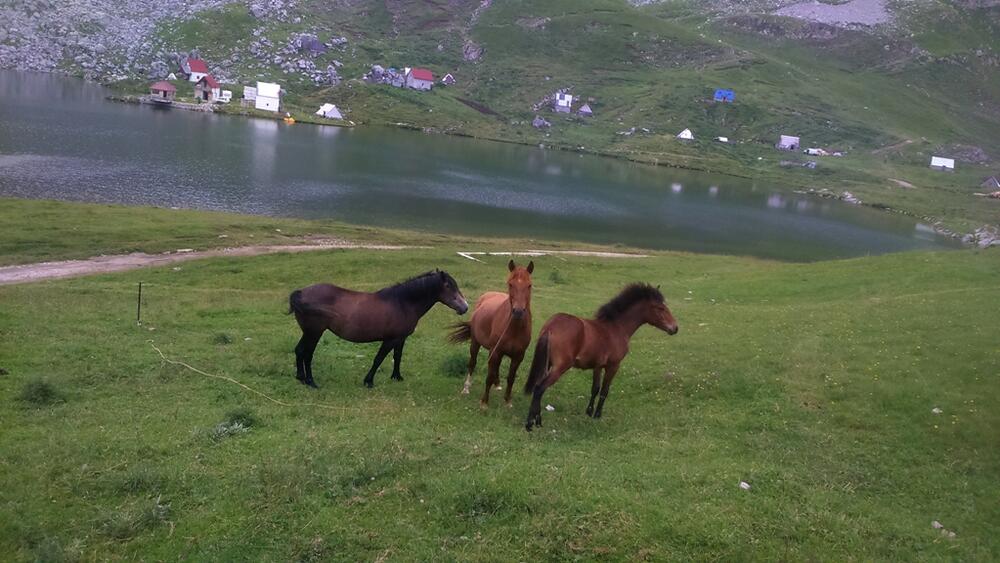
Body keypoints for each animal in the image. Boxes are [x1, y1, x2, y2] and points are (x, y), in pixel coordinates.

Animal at [290, 272, 468, 388]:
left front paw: (397, 377)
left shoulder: (401, 338)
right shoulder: (390, 340)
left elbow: (397, 357)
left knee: (299, 350)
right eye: (448, 286)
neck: (402, 303)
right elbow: (379, 359)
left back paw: (300, 378)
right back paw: (311, 382)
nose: (465, 307)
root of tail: (301, 292)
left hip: (308, 332)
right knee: (307, 354)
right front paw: (368, 381)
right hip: (314, 333)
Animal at [450, 260, 536, 410]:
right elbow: (489, 376)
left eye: (529, 285)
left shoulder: (518, 357)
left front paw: (508, 401)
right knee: (472, 363)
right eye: (510, 284)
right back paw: (466, 388)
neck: (514, 328)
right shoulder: (495, 351)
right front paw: (484, 402)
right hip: (476, 343)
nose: (518, 311)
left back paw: (497, 384)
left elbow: (511, 378)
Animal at [520, 284, 676, 430]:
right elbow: (604, 391)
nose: (675, 328)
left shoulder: (598, 366)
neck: (616, 328)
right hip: (560, 367)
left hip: (547, 364)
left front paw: (589, 412)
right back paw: (530, 423)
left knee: (538, 386)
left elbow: (595, 388)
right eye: (660, 308)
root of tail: (550, 328)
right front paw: (597, 415)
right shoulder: (613, 366)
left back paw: (538, 420)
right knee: (539, 388)